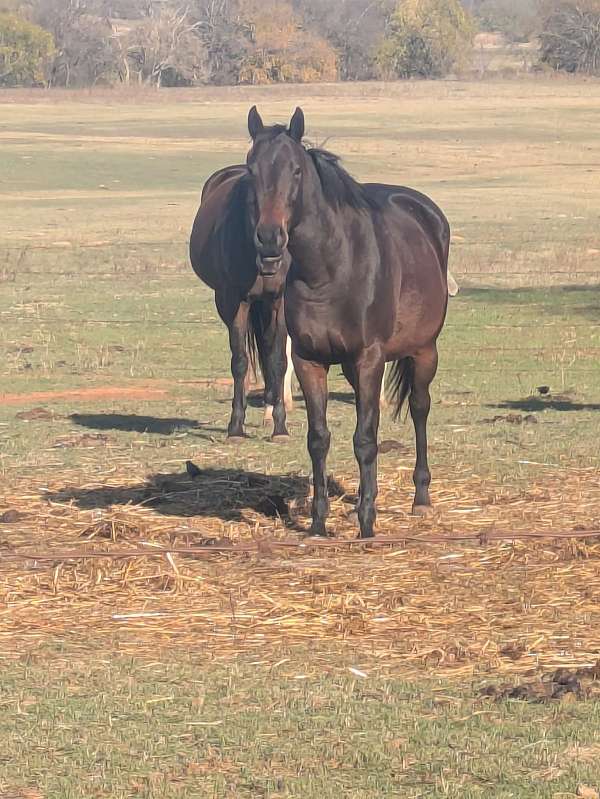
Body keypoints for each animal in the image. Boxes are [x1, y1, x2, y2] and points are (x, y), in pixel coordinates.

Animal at [188, 162, 290, 438]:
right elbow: (240, 361)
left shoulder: (279, 301)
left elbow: (278, 359)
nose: (269, 239)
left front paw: (280, 425)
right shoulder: (236, 302)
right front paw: (235, 425)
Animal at [244, 106, 450, 540]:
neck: (330, 268)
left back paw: (420, 498)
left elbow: (365, 440)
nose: (269, 239)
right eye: (251, 169)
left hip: (424, 351)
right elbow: (319, 439)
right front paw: (319, 522)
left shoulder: (369, 358)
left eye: (296, 170)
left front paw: (367, 523)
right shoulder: (309, 360)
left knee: (419, 409)